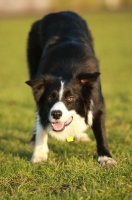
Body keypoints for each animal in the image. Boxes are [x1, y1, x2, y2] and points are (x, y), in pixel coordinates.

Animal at [26, 10, 116, 167]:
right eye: (50, 97)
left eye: (71, 98)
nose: (56, 114)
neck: (66, 70)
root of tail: (58, 12)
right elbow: (41, 122)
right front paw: (39, 154)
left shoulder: (97, 102)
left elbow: (100, 131)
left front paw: (106, 158)